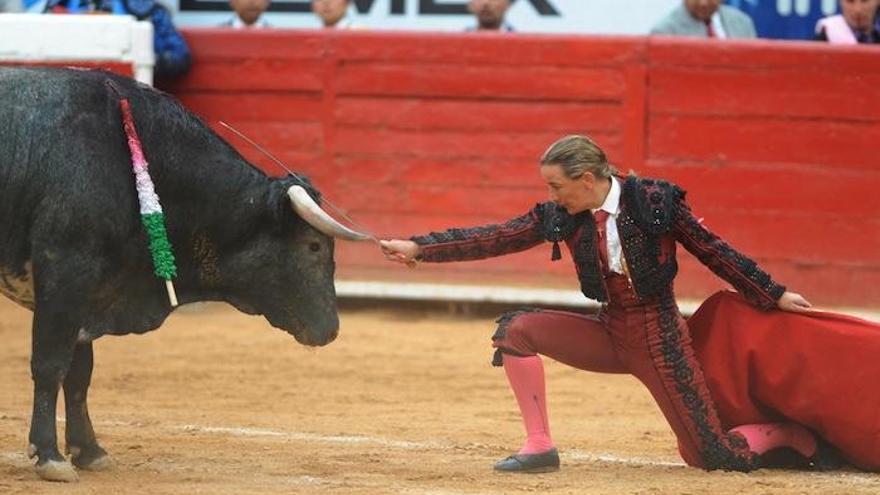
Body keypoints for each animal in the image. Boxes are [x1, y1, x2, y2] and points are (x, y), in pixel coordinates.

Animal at [0, 68, 364, 482]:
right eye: (314, 246)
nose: (331, 330)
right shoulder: (64, 274)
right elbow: (50, 365)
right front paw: (50, 457)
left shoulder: (90, 295)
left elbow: (80, 374)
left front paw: (90, 451)